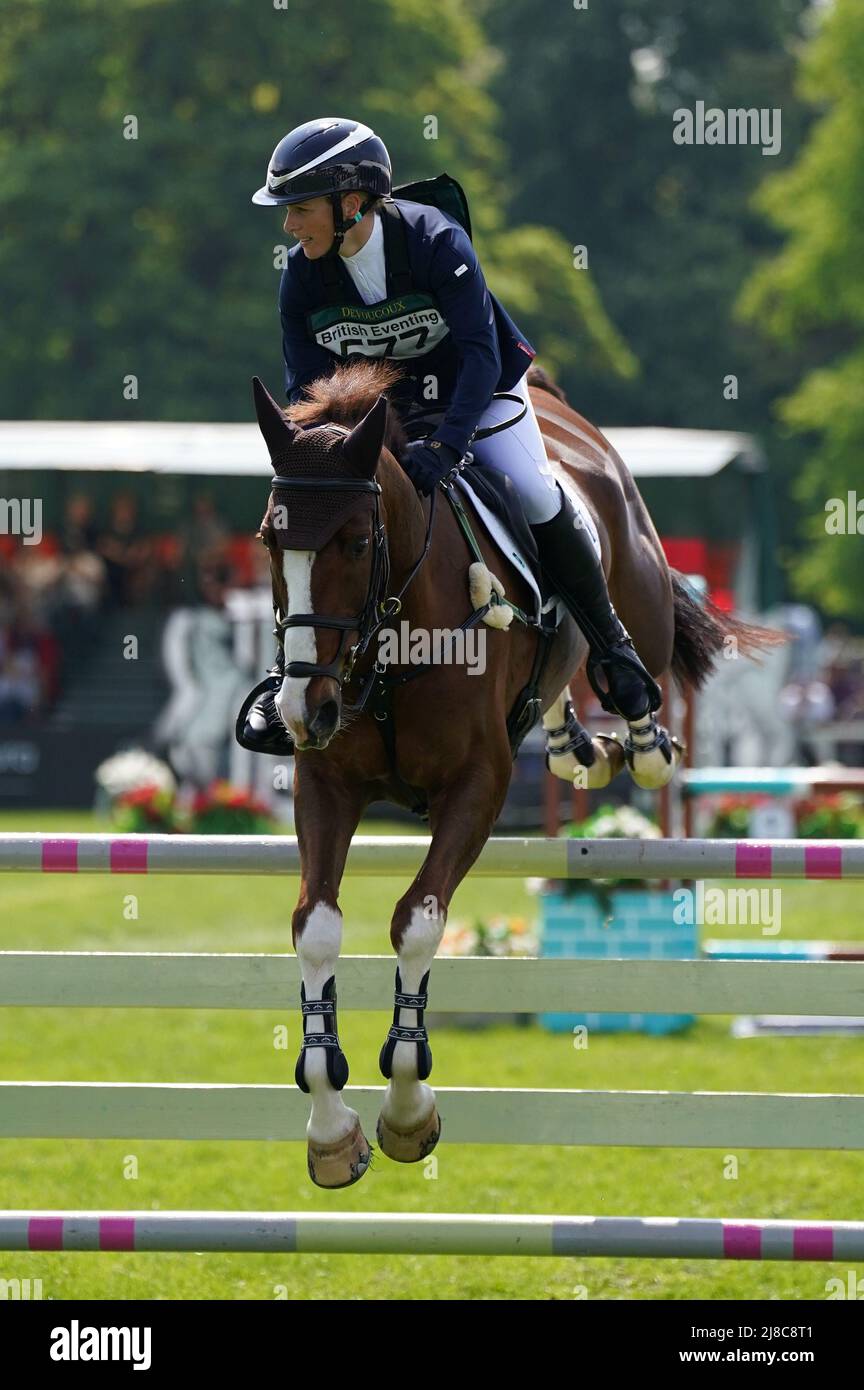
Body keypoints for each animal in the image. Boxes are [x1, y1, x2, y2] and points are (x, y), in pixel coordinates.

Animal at [251, 358, 778, 1188]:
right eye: (271, 542)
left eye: (355, 543)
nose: (306, 706)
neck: (395, 633)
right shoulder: (326, 787)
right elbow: (316, 928)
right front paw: (331, 1128)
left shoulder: (477, 788)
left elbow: (416, 920)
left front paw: (409, 1109)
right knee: (564, 687)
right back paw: (574, 745)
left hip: (638, 585)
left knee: (632, 645)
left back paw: (639, 735)